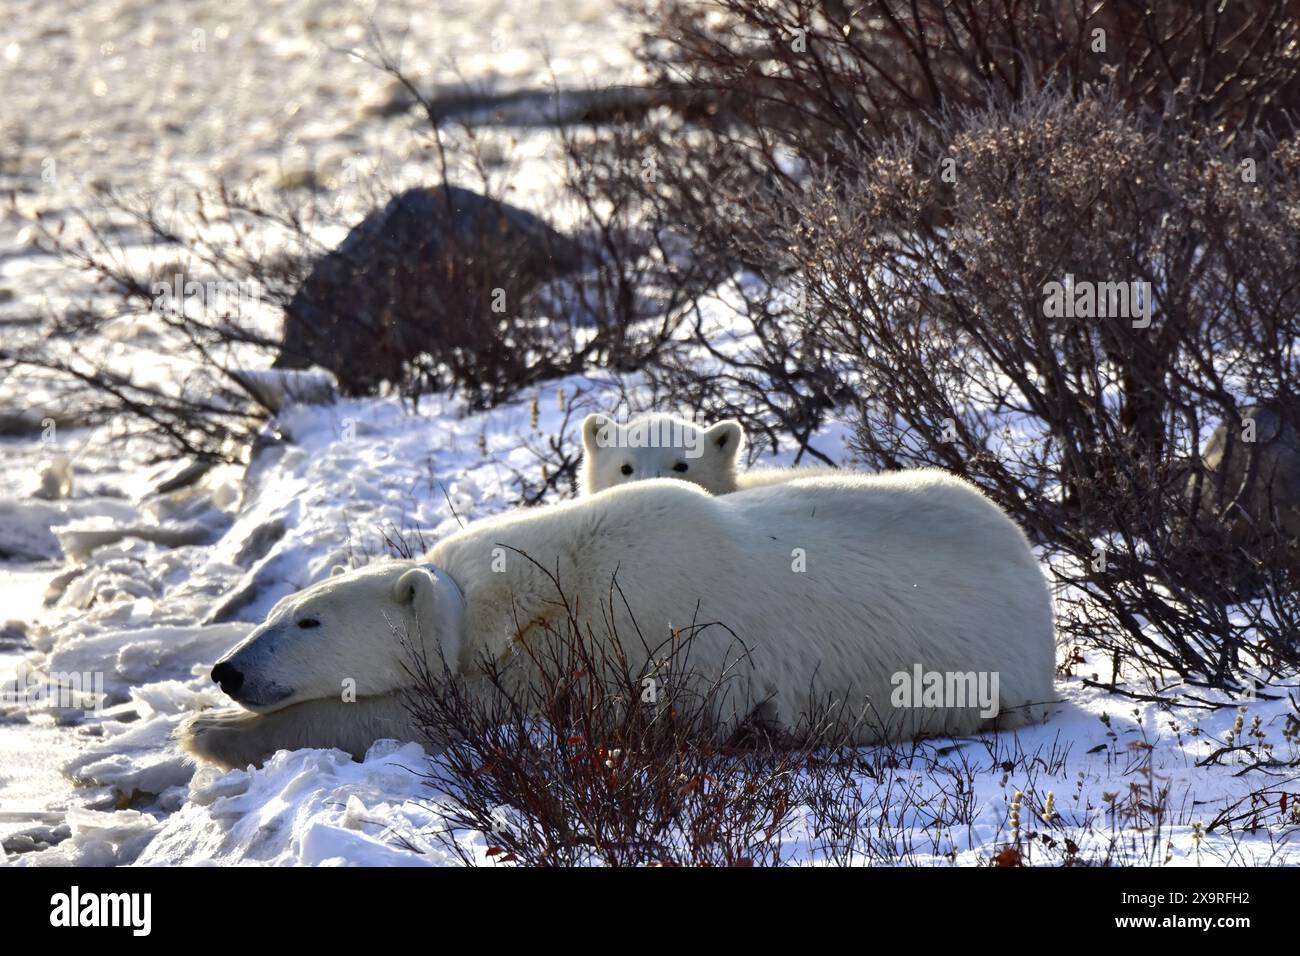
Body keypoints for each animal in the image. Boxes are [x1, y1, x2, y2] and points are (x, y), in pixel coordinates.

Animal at [183, 470, 1055, 770]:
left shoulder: (618, 629)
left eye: (309, 623)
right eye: (282, 609)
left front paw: (206, 734)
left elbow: (447, 714)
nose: (228, 670)